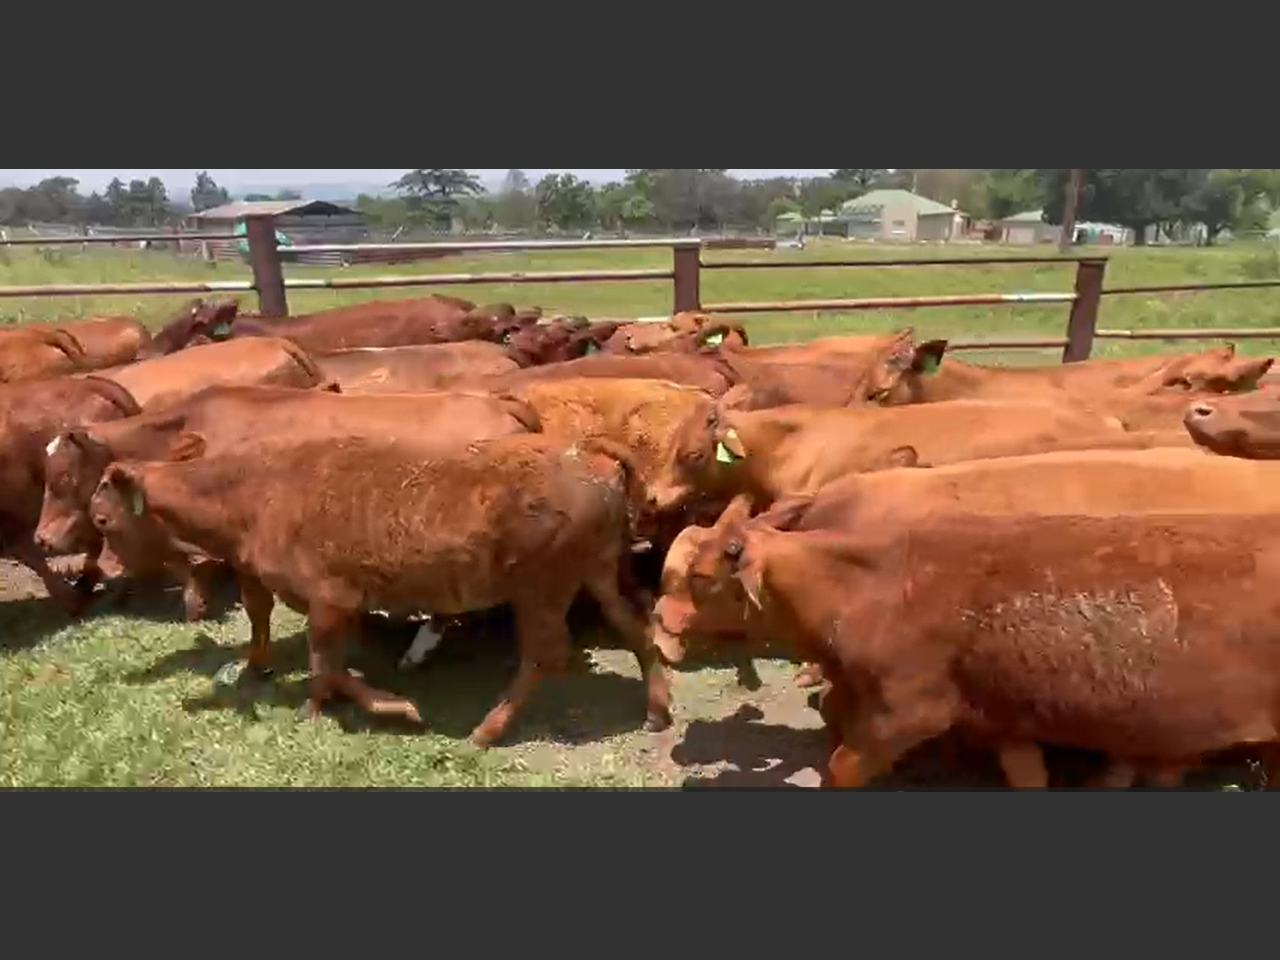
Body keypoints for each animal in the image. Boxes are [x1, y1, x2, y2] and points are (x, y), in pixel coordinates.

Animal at [86, 433, 672, 746]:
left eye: (101, 519)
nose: (102, 575)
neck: (256, 491)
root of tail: (584, 455)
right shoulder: (337, 607)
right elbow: (330, 665)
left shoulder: (329, 601)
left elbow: (326, 667)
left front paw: (387, 708)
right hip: (594, 573)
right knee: (636, 627)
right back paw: (656, 709)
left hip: (541, 589)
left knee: (544, 655)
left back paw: (487, 729)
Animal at [665, 505, 1280, 789]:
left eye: (700, 576)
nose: (662, 621)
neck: (873, 588)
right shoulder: (1004, 718)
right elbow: (1028, 776)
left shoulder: (907, 711)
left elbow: (840, 768)